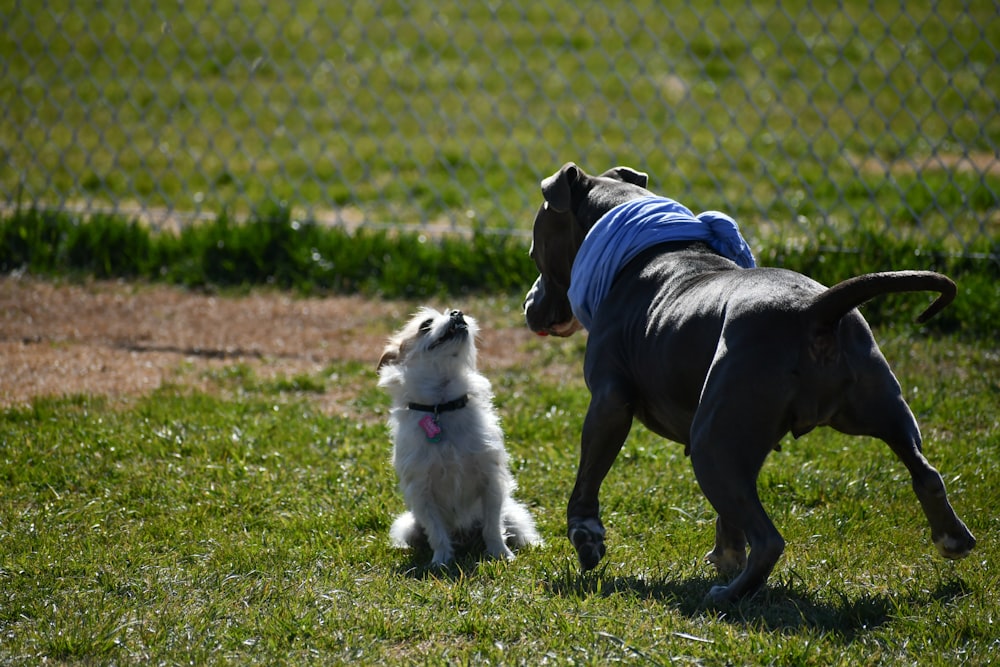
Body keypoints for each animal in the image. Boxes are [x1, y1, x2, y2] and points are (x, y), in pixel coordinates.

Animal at [378, 306, 544, 564]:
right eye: (425, 324)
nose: (457, 312)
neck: (442, 406)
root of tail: (465, 537)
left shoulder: (491, 481)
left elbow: (493, 526)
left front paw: (501, 554)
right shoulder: (422, 492)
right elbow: (436, 531)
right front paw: (441, 561)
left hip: (514, 514)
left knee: (516, 529)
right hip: (407, 525)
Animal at [524, 163, 976, 604]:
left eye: (534, 251)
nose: (529, 303)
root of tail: (815, 310)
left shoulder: (609, 402)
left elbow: (588, 475)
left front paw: (585, 536)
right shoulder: (748, 444)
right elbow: (731, 516)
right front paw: (726, 554)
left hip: (711, 446)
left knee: (770, 541)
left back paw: (726, 597)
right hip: (883, 410)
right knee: (927, 474)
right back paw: (952, 538)